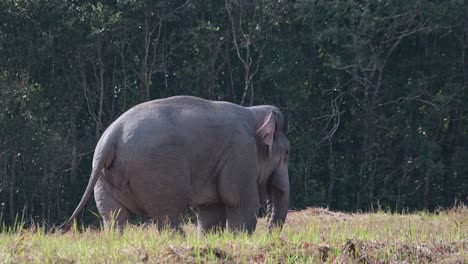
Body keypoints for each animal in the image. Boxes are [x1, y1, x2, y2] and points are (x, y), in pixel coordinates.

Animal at [59, 96, 288, 234]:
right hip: (156, 173)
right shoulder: (240, 153)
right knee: (166, 215)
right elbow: (240, 202)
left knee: (115, 218)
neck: (253, 113)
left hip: (104, 177)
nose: (269, 233)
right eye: (287, 154)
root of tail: (111, 137)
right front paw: (238, 238)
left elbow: (210, 209)